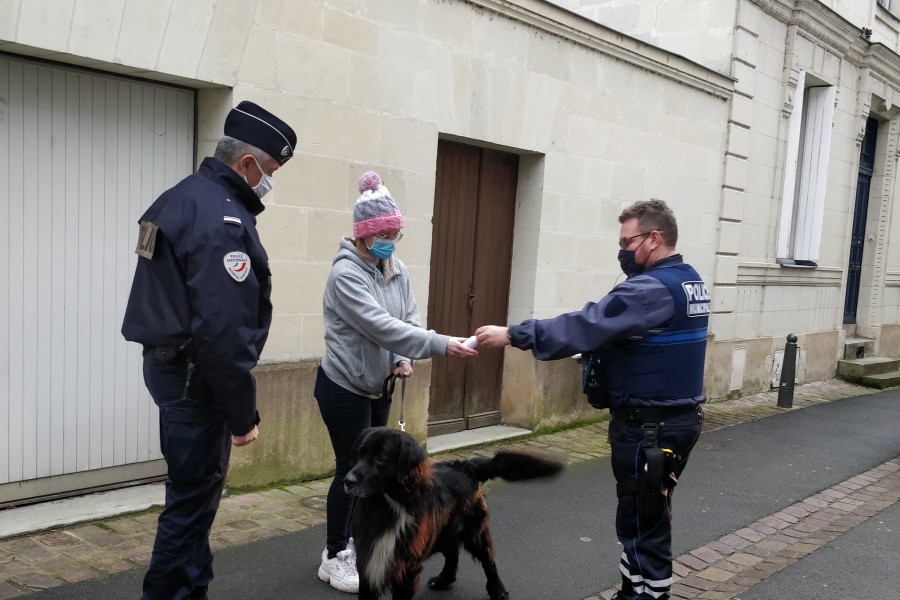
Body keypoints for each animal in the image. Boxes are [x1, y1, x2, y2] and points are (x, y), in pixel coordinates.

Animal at [344, 426, 564, 600]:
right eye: (359, 455)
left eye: (381, 459)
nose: (348, 481)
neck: (387, 507)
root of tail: (467, 466)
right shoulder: (368, 563)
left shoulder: (406, 569)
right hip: (444, 530)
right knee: (453, 553)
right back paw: (443, 580)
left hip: (474, 533)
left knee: (489, 561)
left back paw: (498, 591)